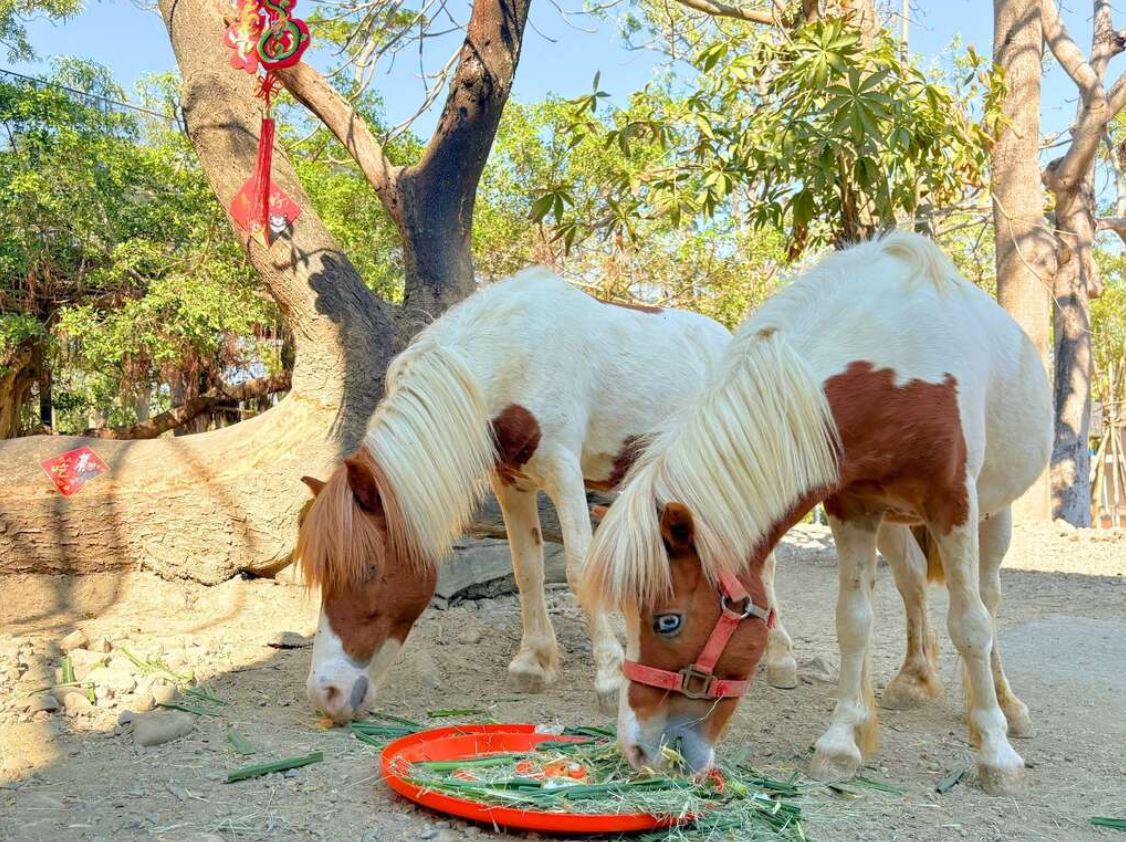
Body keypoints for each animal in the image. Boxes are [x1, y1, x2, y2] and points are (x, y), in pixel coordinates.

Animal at [294, 267, 806, 721]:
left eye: (369, 569)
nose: (326, 693)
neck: (511, 354)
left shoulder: (563, 471)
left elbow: (580, 568)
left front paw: (609, 678)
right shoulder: (511, 483)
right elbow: (527, 569)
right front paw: (534, 662)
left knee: (766, 563)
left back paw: (780, 660)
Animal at [581, 232, 1051, 796]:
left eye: (667, 621)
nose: (636, 750)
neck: (894, 367)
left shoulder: (953, 505)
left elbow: (971, 625)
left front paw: (996, 754)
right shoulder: (853, 508)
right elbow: (853, 621)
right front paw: (842, 741)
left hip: (993, 516)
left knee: (988, 600)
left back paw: (1008, 707)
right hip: (896, 526)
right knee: (913, 585)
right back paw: (911, 681)